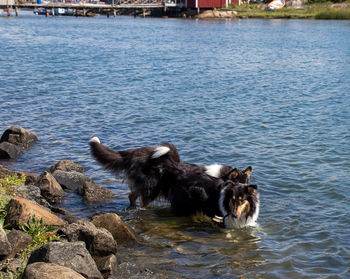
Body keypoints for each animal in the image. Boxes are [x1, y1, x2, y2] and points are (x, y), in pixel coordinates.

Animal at [88, 137, 258, 229]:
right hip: (153, 190)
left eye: (246, 183)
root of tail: (137, 153)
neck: (222, 176)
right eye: (238, 184)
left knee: (132, 195)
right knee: (141, 201)